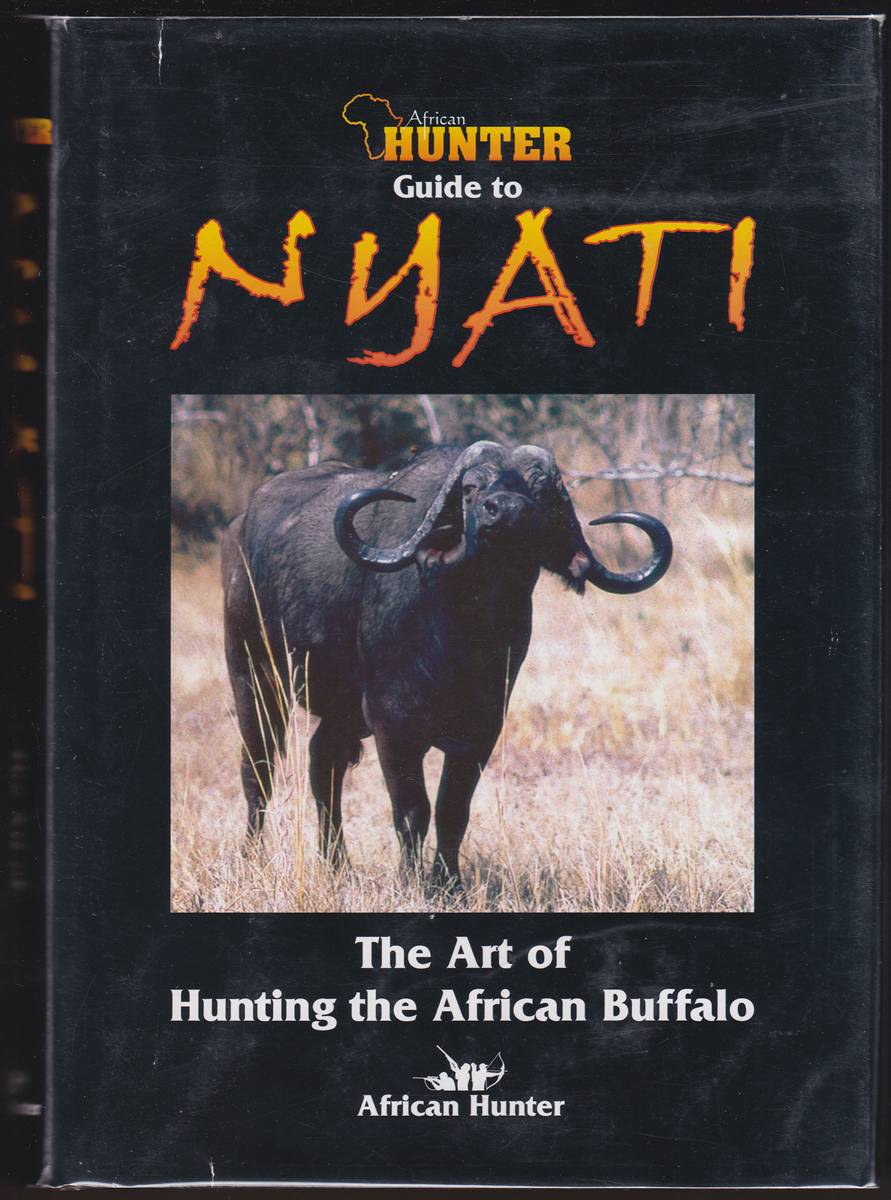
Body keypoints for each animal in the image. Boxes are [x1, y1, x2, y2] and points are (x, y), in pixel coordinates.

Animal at [222, 441, 672, 890]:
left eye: (541, 491)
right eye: (470, 488)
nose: (507, 510)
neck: (461, 633)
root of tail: (239, 527)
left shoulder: (482, 730)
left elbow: (453, 811)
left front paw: (448, 883)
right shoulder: (393, 725)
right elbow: (412, 810)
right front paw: (412, 881)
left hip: (340, 711)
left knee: (322, 764)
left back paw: (337, 866)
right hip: (254, 678)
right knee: (258, 770)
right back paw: (251, 857)